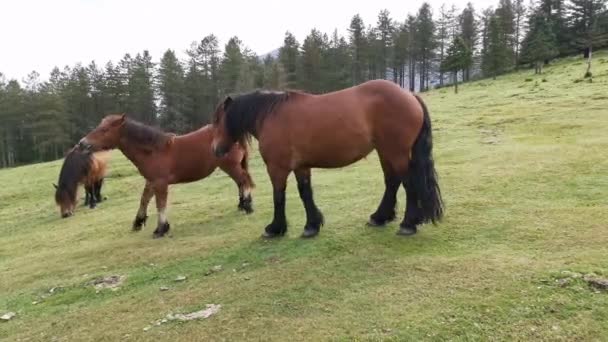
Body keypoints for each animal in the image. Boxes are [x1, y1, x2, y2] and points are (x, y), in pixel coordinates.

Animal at [78, 115, 254, 238]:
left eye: (105, 130)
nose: (81, 143)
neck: (153, 151)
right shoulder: (151, 181)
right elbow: (144, 200)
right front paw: (138, 222)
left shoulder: (160, 183)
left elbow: (160, 204)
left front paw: (161, 229)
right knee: (241, 182)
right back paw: (242, 204)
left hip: (230, 166)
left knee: (243, 180)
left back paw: (247, 207)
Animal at [211, 80, 444, 239]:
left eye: (218, 120)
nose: (215, 149)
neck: (271, 116)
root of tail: (409, 95)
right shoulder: (301, 167)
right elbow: (305, 193)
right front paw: (312, 226)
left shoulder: (277, 168)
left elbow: (279, 197)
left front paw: (275, 228)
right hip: (385, 152)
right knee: (392, 182)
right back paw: (379, 217)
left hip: (397, 153)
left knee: (408, 184)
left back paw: (408, 224)